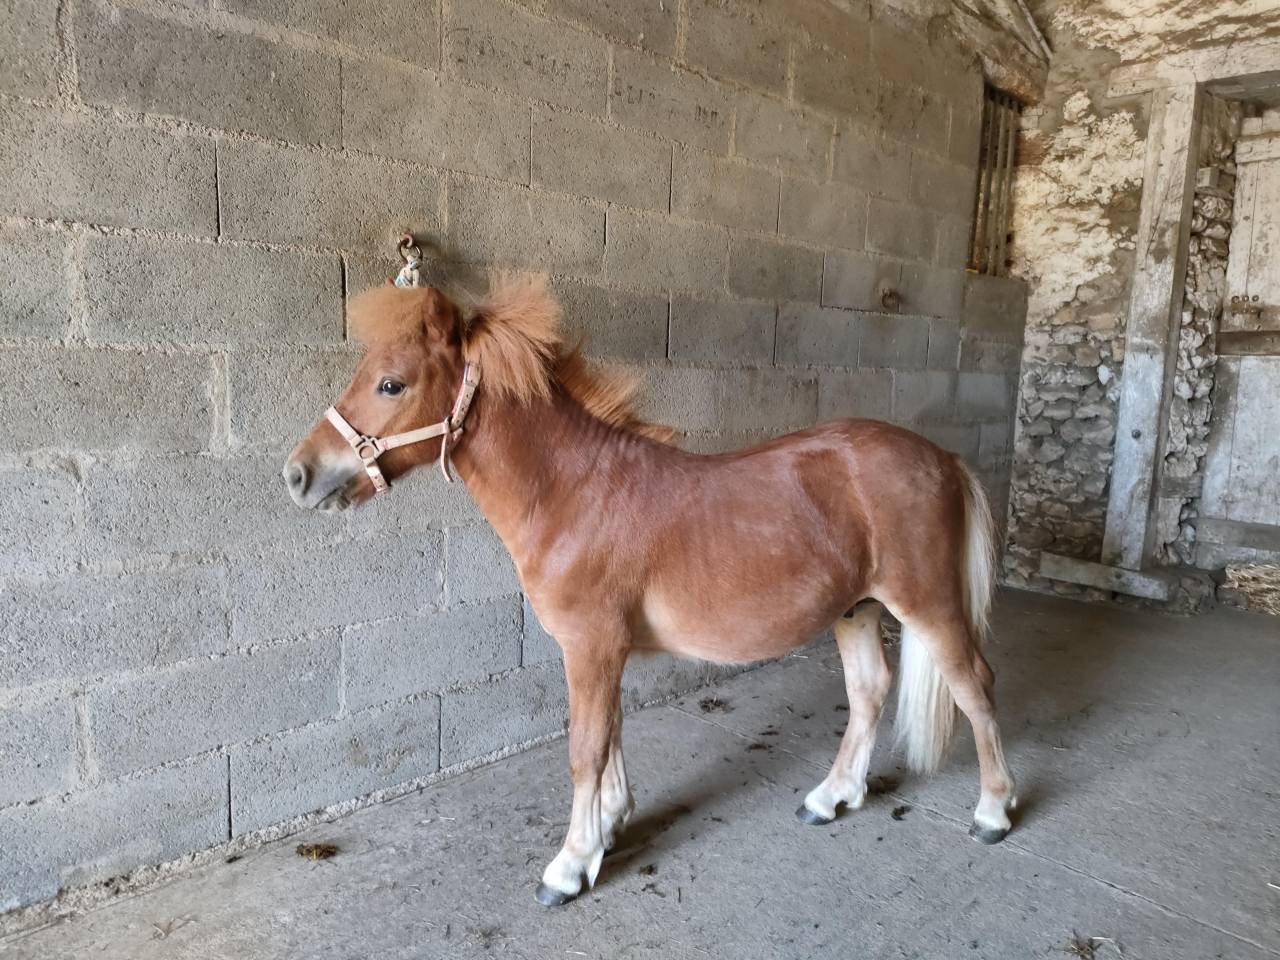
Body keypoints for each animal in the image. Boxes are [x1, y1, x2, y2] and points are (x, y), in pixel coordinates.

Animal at [283, 276, 1017, 907]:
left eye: (391, 383)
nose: (298, 475)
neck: (575, 494)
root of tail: (943, 458)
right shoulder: (601, 652)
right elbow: (608, 734)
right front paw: (609, 827)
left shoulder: (592, 647)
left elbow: (585, 748)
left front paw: (570, 865)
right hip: (856, 609)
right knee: (869, 692)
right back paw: (830, 797)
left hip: (929, 604)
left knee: (976, 686)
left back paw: (992, 811)